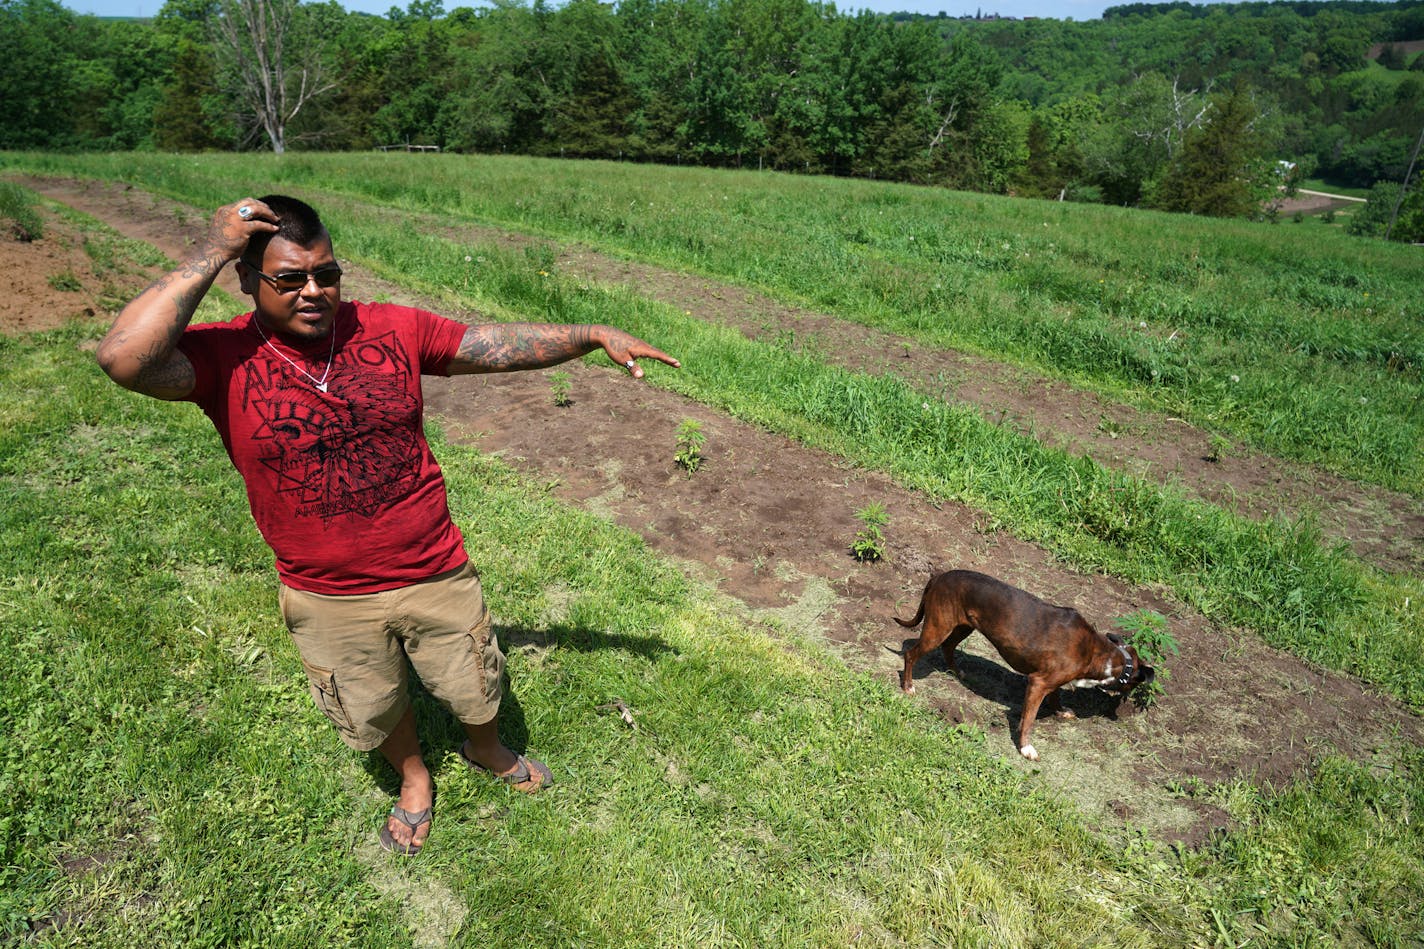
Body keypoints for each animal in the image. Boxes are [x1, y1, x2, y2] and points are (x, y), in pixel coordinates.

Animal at [894, 569, 1150, 763]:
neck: (1100, 654)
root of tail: (940, 575)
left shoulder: (1052, 682)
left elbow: (1055, 697)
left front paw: (1060, 711)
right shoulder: (1038, 683)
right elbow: (1028, 720)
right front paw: (1026, 748)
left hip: (963, 626)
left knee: (948, 648)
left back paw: (957, 673)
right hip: (938, 628)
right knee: (911, 654)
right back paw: (908, 686)